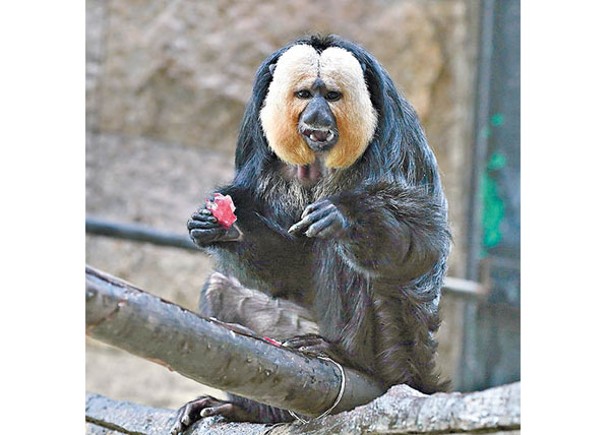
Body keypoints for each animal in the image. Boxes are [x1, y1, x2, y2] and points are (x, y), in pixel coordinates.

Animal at [171, 34, 452, 432]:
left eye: (331, 96)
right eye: (305, 94)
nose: (317, 115)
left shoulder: (397, 144)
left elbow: (422, 244)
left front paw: (345, 218)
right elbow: (289, 270)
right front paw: (223, 228)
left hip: (397, 350)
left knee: (348, 258)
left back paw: (348, 356)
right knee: (221, 289)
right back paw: (254, 411)